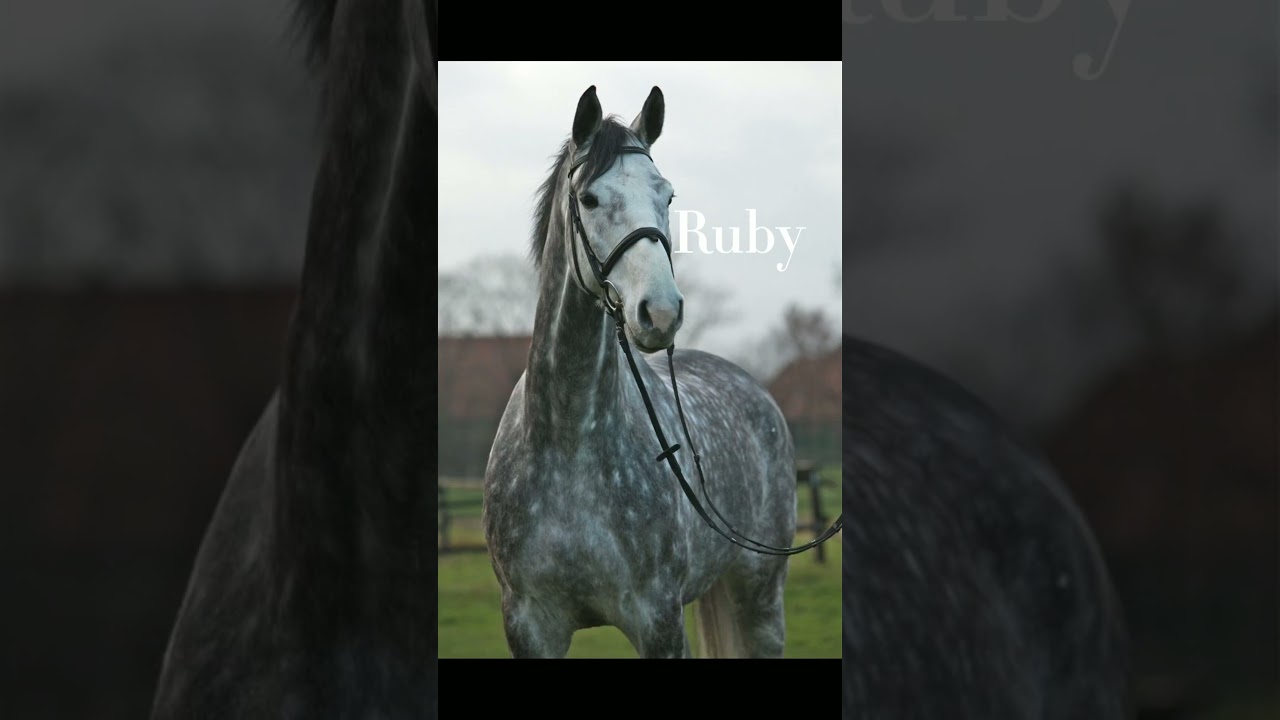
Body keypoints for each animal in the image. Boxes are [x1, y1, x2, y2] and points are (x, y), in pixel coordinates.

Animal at [482, 85, 805, 659]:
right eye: (589, 199)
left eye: (667, 196)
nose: (661, 312)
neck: (567, 443)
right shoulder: (529, 625)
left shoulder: (659, 620)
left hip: (760, 596)